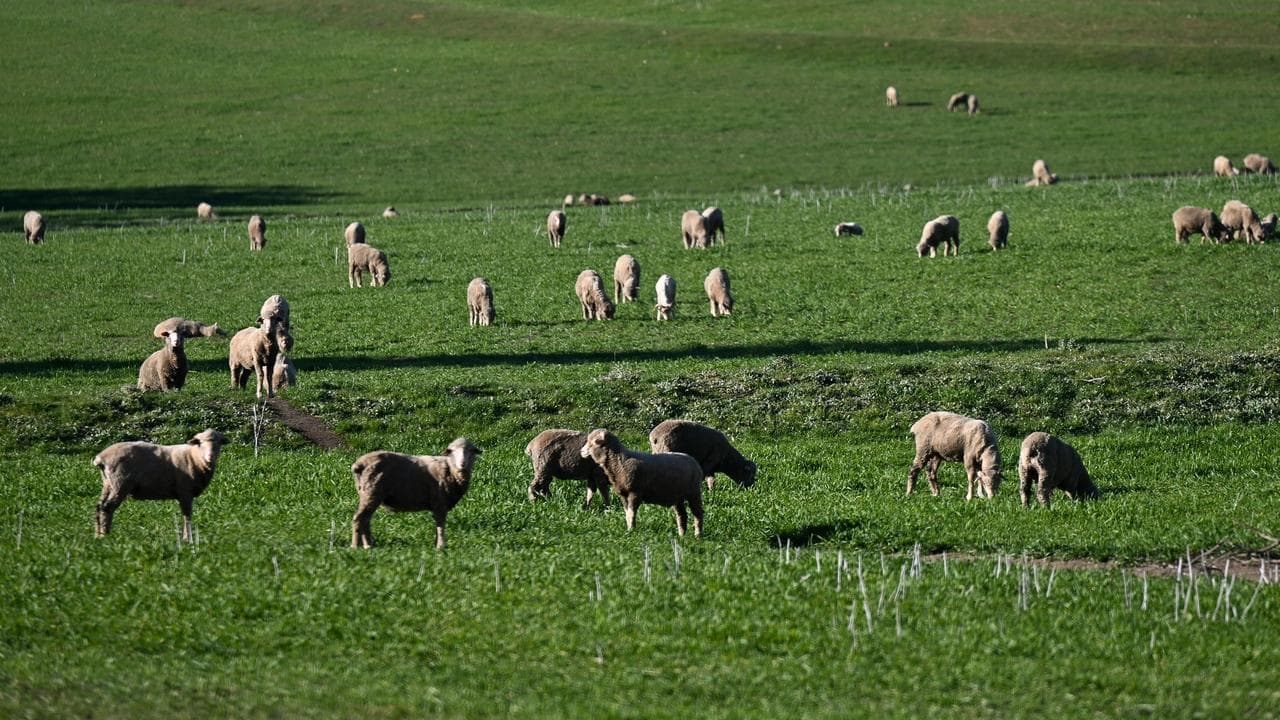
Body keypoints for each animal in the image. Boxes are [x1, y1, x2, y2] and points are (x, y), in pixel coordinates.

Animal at [92, 429, 228, 539]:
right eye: (200, 443)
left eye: (219, 443)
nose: (210, 457)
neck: (194, 457)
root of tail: (101, 458)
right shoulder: (185, 492)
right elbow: (187, 515)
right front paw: (187, 539)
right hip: (120, 483)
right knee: (107, 507)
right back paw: (105, 535)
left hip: (108, 483)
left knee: (99, 506)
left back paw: (98, 535)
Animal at [350, 437, 483, 550]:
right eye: (452, 451)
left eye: (471, 451)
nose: (463, 464)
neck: (450, 469)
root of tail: (360, 464)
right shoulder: (439, 503)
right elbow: (441, 526)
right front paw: (441, 546)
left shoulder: (438, 505)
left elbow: (438, 526)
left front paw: (436, 545)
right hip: (372, 492)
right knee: (359, 518)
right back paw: (356, 546)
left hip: (367, 492)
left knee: (365, 520)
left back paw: (368, 546)